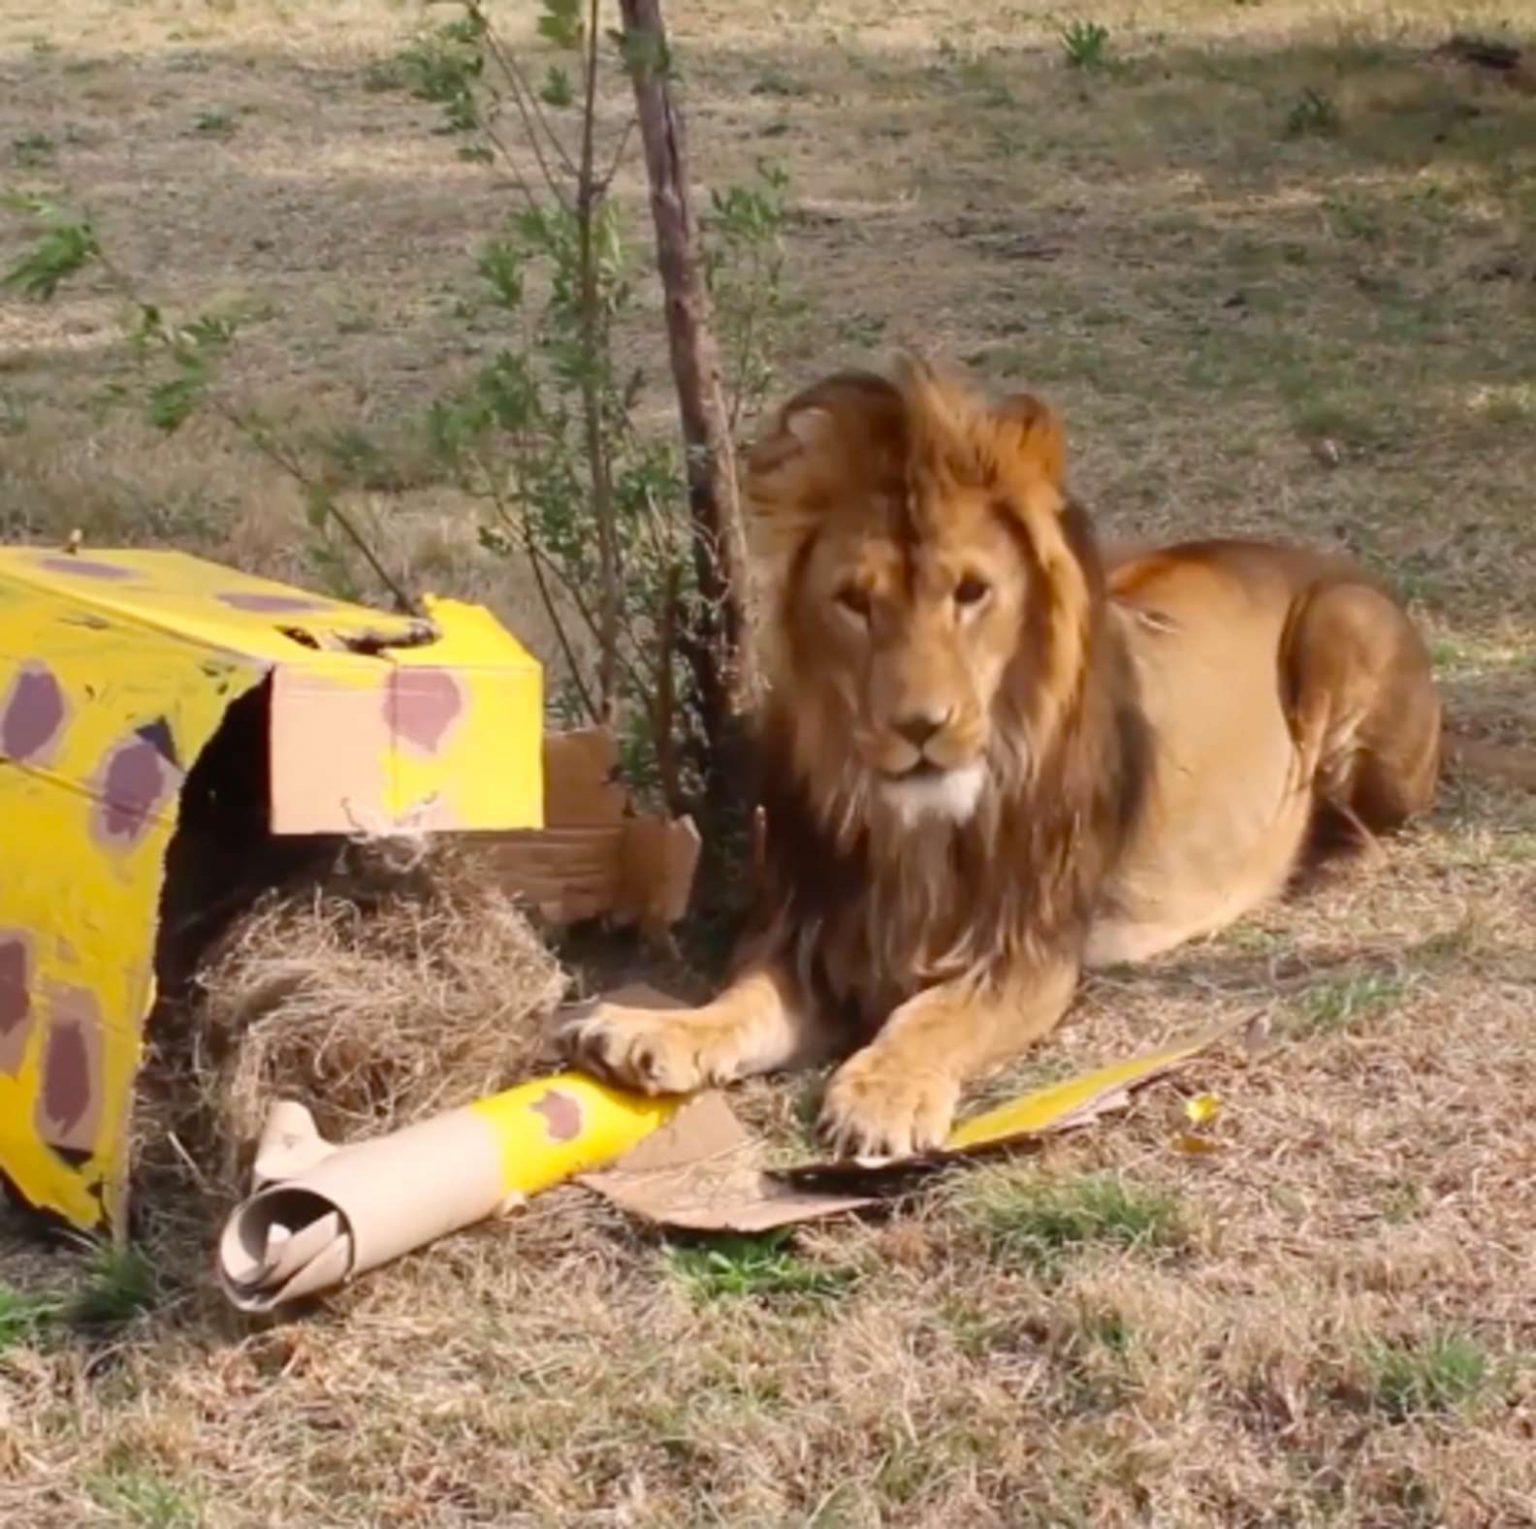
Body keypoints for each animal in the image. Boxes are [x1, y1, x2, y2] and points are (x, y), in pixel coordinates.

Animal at [562, 358, 1437, 1161]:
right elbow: (741, 1000)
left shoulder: (1029, 953)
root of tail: (1327, 558)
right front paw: (652, 1031)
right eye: (855, 602)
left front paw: (883, 1095)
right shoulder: (814, 929)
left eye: (971, 592)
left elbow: (931, 1016)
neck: (913, 831)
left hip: (1339, 631)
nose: (920, 726)